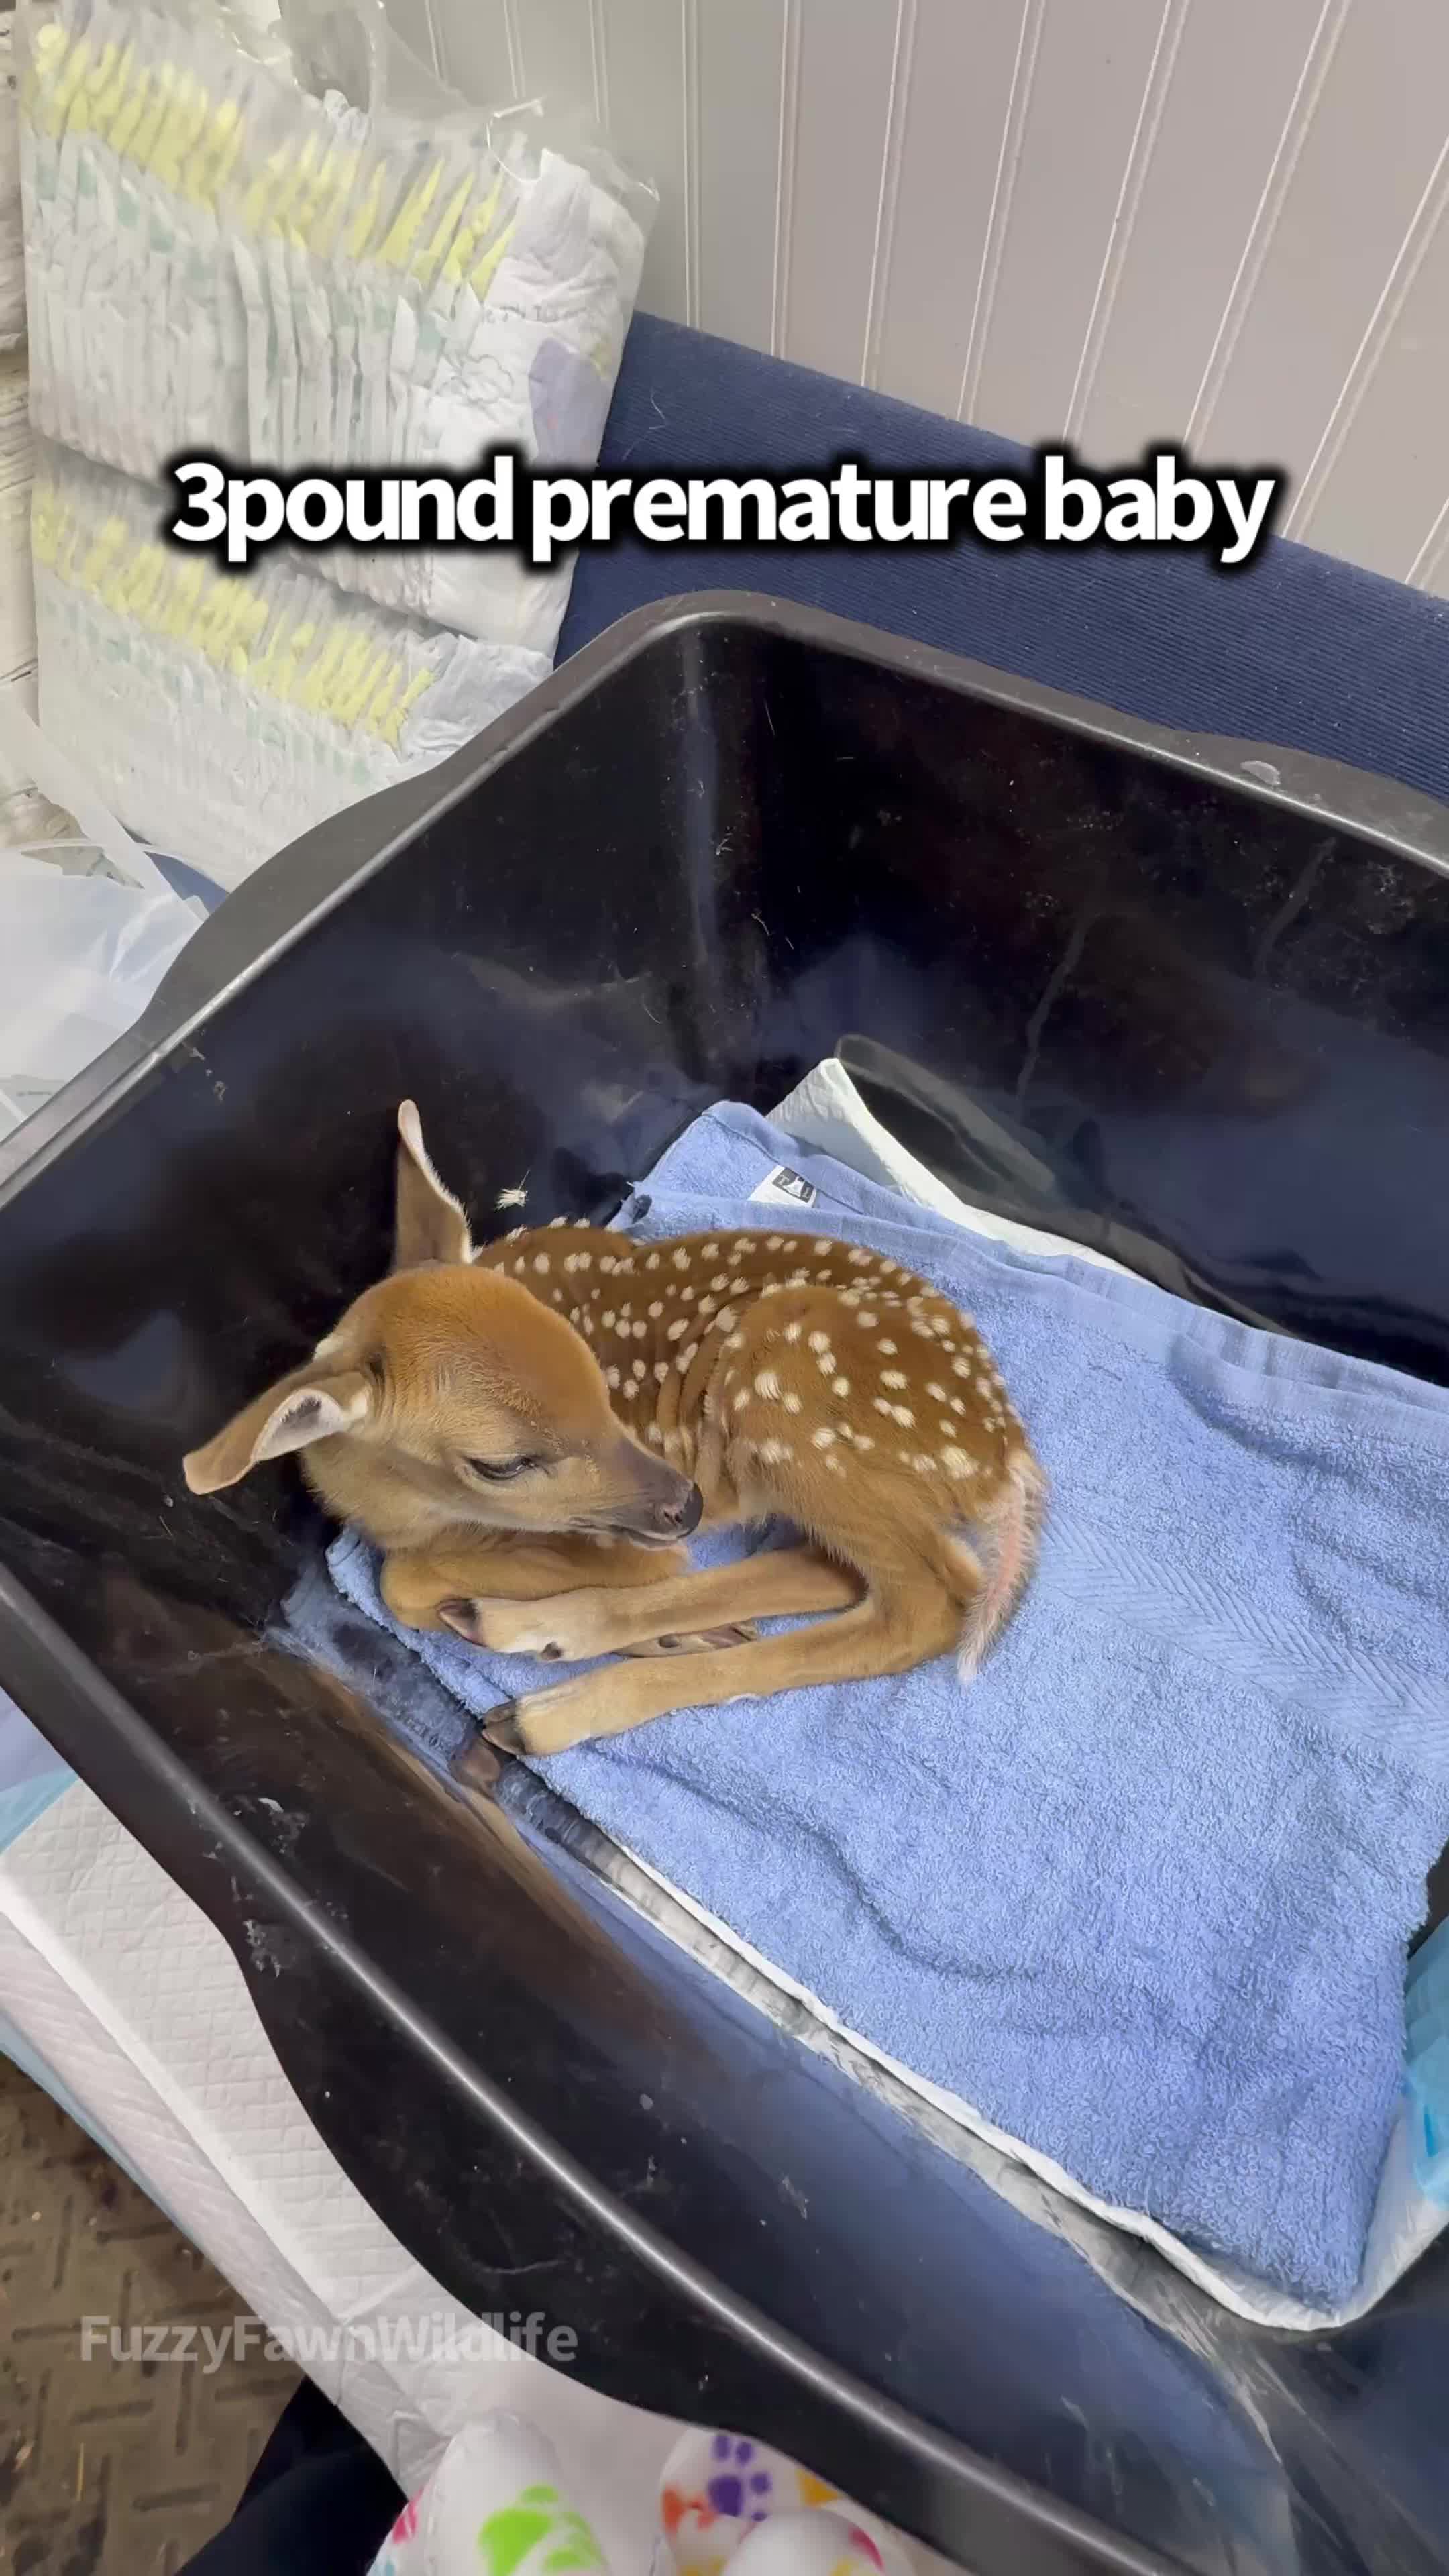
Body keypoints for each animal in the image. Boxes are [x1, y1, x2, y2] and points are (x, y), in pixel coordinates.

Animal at [182, 1103, 1045, 1758]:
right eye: (502, 1463)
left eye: (601, 1385)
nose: (686, 1505)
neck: (400, 1510)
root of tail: (1004, 1451)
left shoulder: (620, 1541)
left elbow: (402, 1582)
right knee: (853, 1570)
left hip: (785, 1389)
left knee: (927, 1602)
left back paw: (546, 1693)